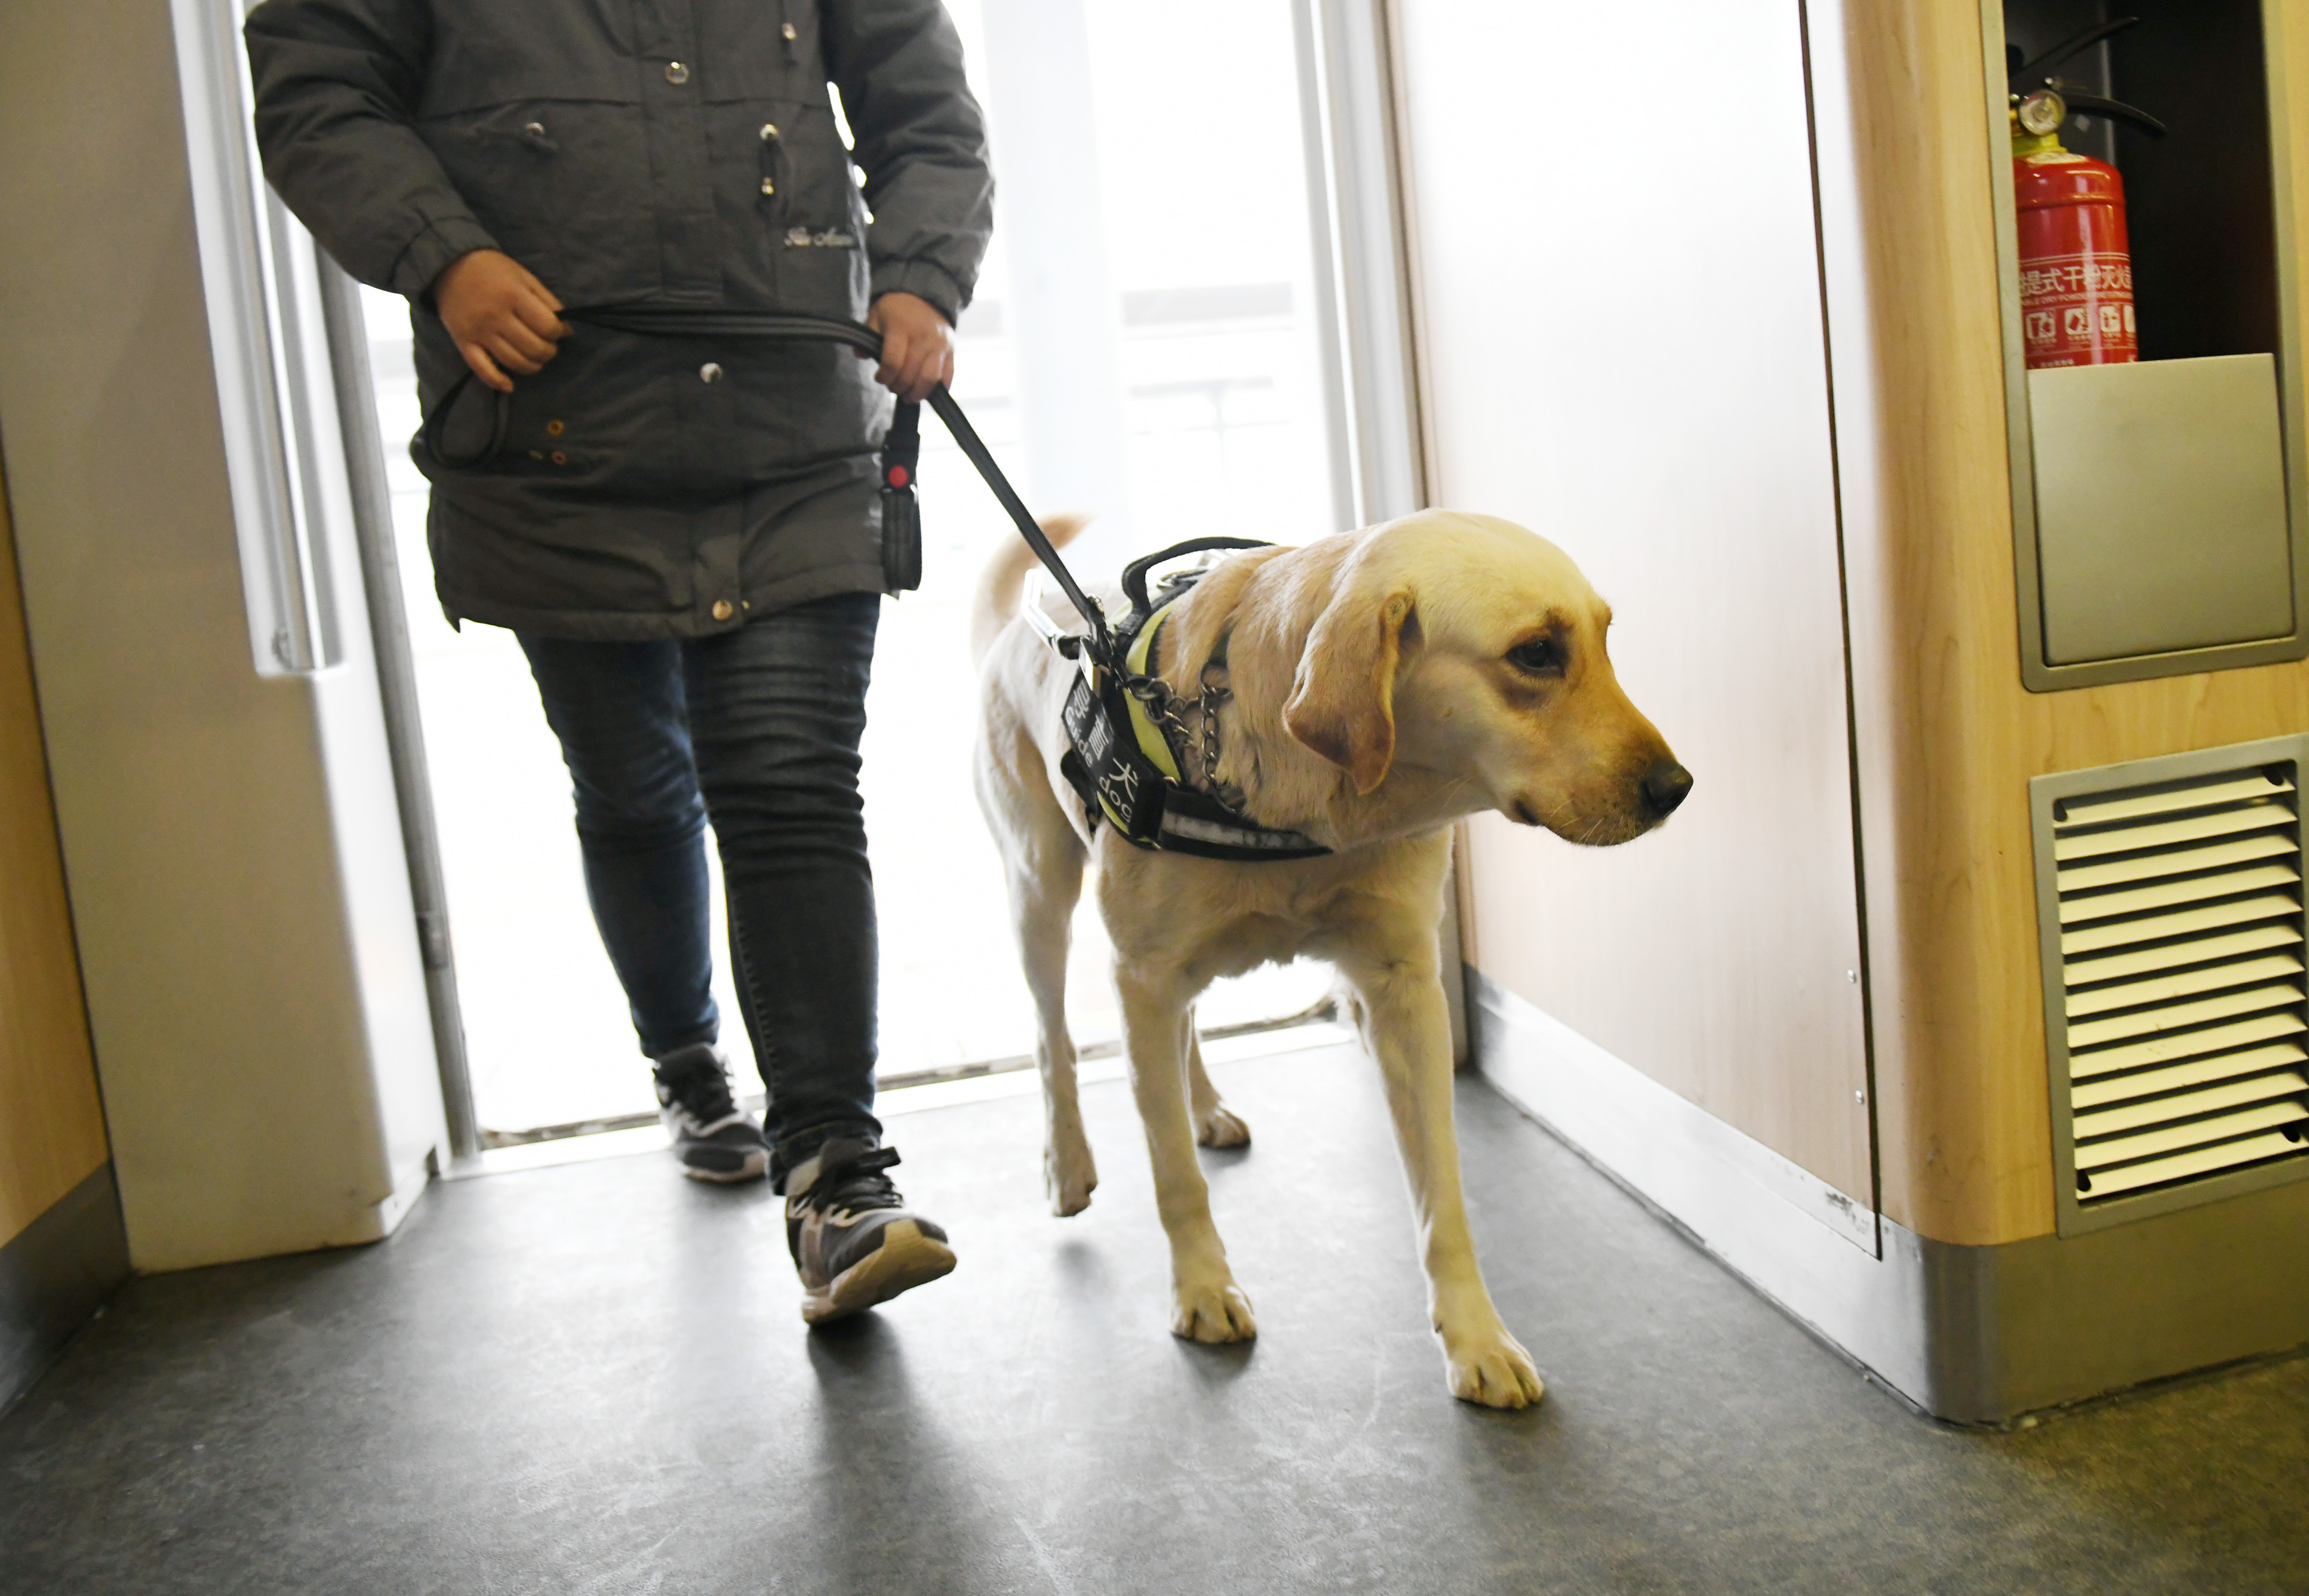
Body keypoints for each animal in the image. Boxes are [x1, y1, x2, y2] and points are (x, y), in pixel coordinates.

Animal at [965, 512, 1690, 1413]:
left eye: (1603, 639)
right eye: (1535, 654)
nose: (1677, 788)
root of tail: (1018, 629)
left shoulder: (1403, 991)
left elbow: (1442, 1192)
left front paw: (1476, 1336)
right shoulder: (1140, 975)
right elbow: (1173, 1177)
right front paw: (1202, 1286)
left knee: (1182, 1030)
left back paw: (1202, 1108)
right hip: (1039, 894)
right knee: (1052, 1041)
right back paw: (1067, 1163)